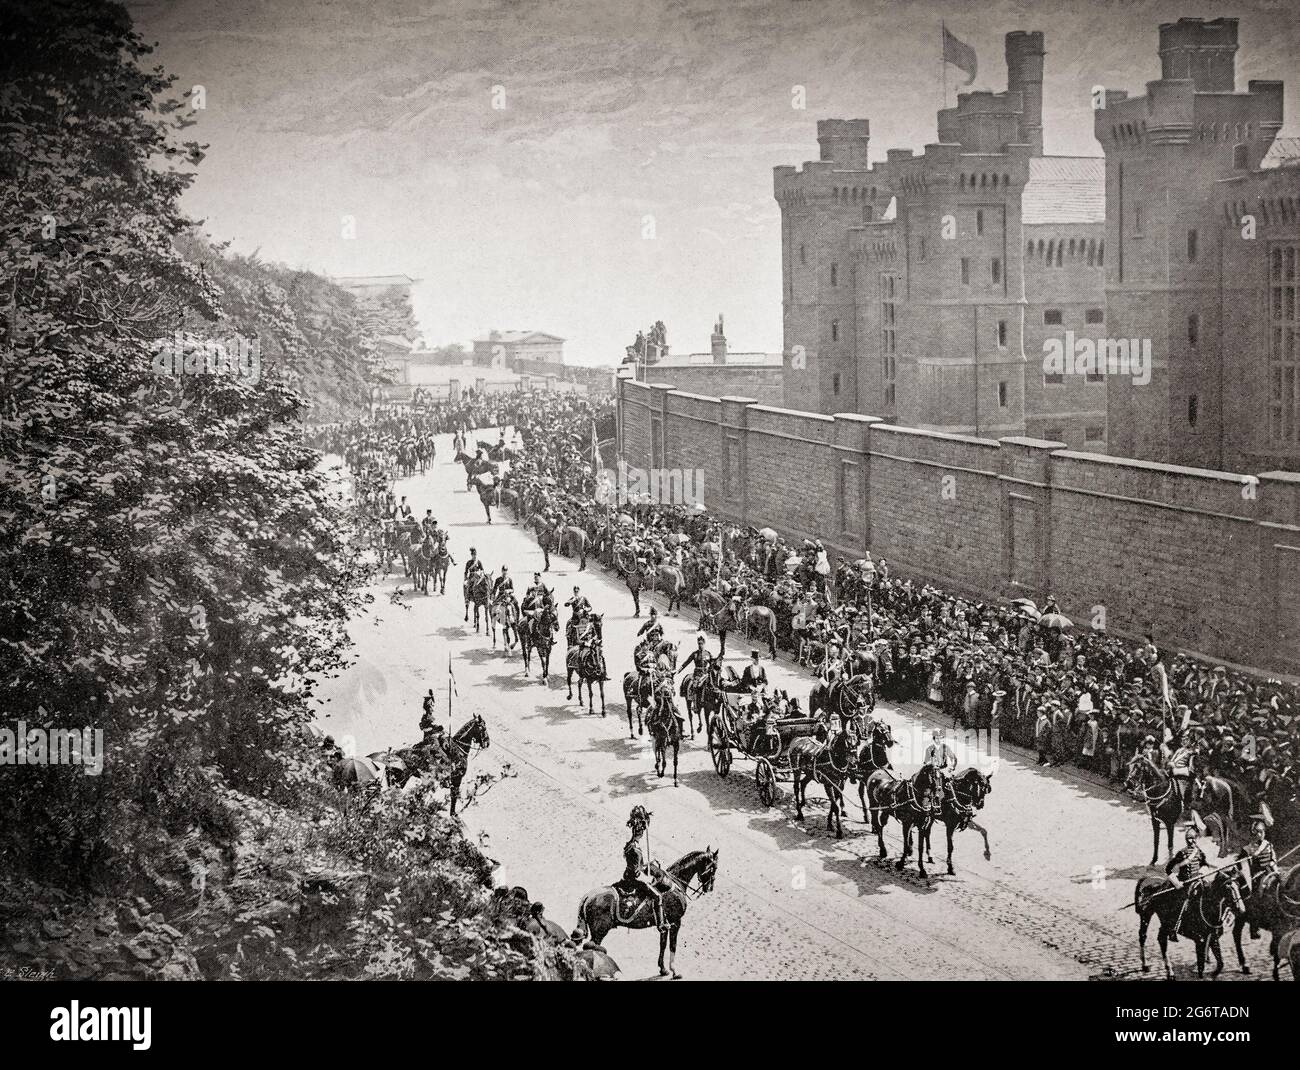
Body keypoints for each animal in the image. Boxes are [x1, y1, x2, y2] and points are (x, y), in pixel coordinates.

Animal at [574, 847, 722, 982]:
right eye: (714, 867)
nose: (709, 888)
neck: (675, 884)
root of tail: (588, 896)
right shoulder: (675, 923)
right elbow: (672, 946)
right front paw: (674, 971)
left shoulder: (665, 925)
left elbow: (663, 944)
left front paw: (663, 969)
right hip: (600, 931)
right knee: (592, 950)